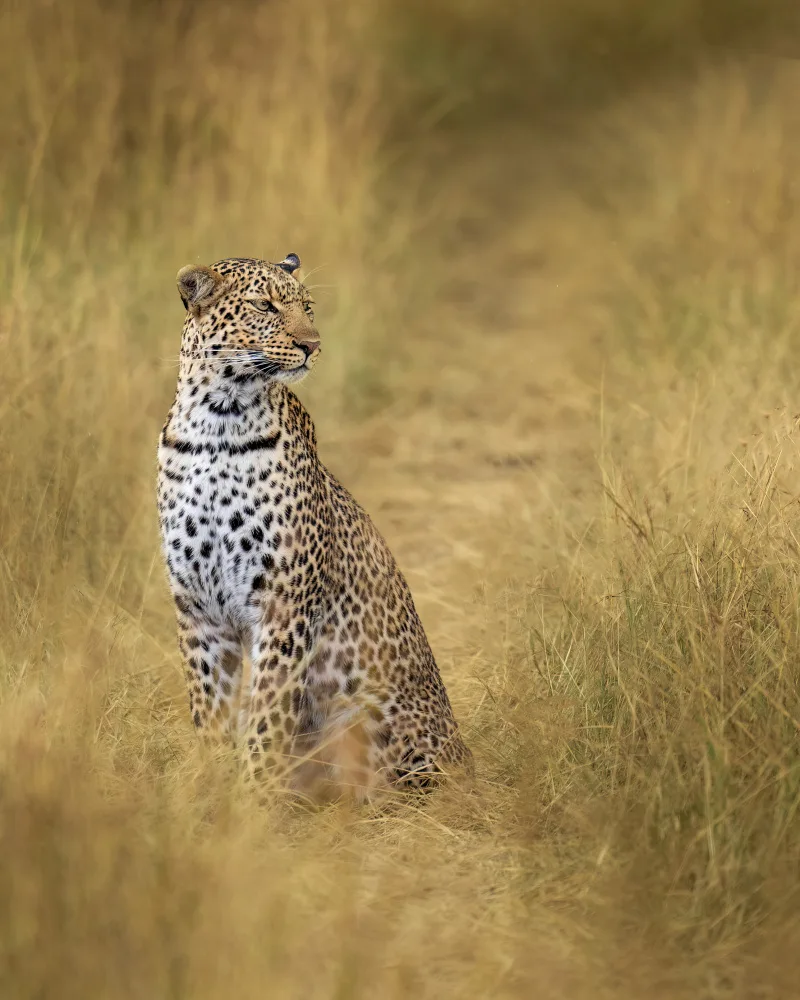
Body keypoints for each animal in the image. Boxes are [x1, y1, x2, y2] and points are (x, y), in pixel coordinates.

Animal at [157, 253, 472, 801]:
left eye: (306, 307)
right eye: (265, 306)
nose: (312, 344)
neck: (217, 421)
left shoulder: (285, 604)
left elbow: (267, 714)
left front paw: (254, 799)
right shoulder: (198, 607)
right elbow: (209, 710)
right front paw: (213, 788)